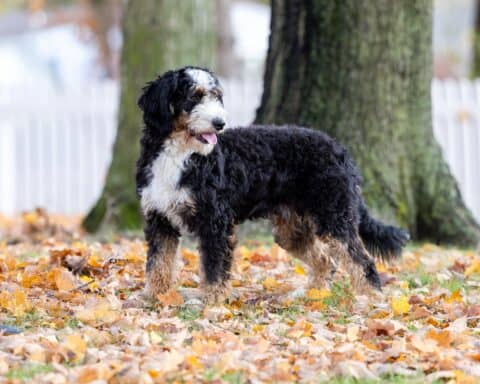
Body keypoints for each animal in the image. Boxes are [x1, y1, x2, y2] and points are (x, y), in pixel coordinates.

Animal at [136, 67, 408, 304]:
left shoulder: (215, 221)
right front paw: (154, 297)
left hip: (334, 217)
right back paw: (312, 295)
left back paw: (371, 299)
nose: (220, 123)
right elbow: (158, 263)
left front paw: (211, 302)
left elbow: (213, 267)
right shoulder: (160, 219)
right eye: (194, 95)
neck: (179, 154)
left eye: (216, 96)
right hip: (293, 231)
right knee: (325, 261)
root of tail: (341, 150)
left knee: (362, 261)